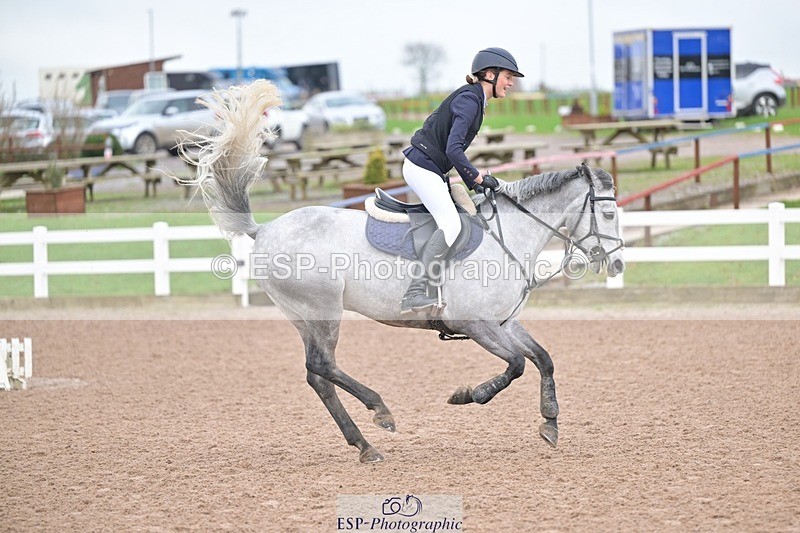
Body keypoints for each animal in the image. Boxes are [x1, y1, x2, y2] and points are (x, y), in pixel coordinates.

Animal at [178, 80, 626, 463]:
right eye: (607, 212)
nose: (617, 262)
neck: (507, 237)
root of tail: (265, 229)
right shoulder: (475, 323)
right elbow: (516, 364)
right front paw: (468, 395)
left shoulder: (504, 322)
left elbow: (543, 359)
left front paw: (550, 422)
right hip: (322, 310)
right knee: (323, 366)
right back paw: (380, 411)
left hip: (303, 316)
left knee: (317, 375)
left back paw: (364, 445)